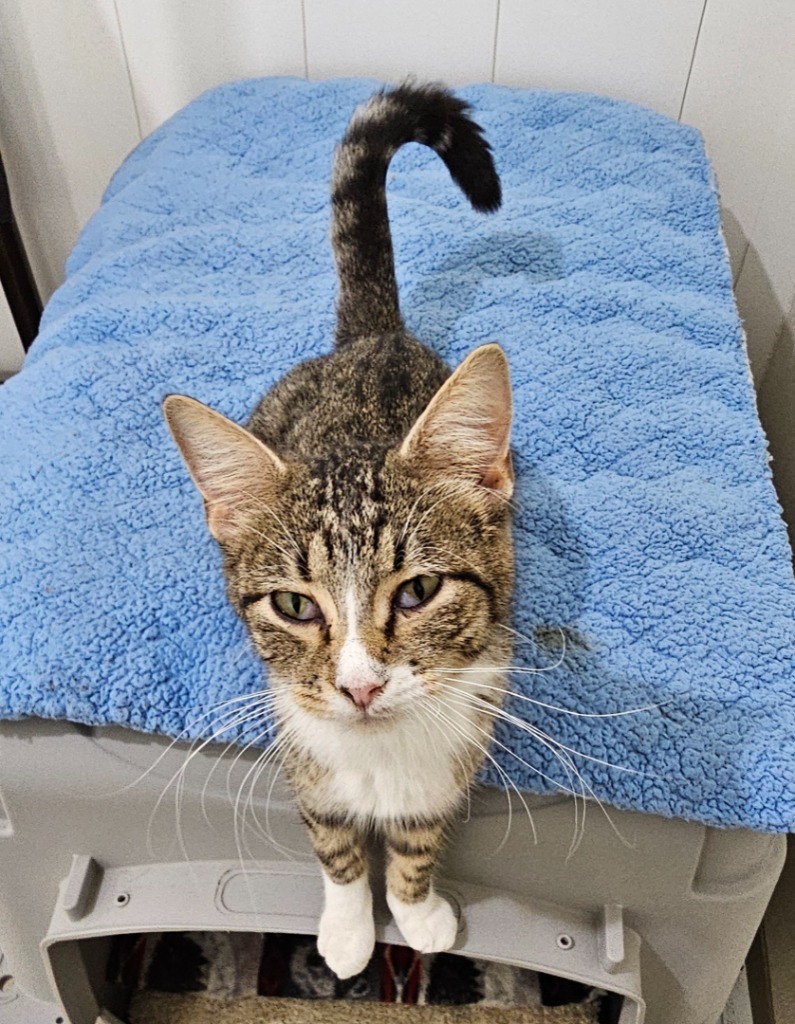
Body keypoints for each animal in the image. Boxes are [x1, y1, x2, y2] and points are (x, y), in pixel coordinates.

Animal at [162, 83, 516, 978]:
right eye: (294, 606)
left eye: (419, 589)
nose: (358, 687)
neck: (379, 758)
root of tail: (371, 335)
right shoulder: (303, 748)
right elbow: (332, 840)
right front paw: (350, 928)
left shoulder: (458, 747)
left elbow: (418, 840)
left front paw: (417, 911)